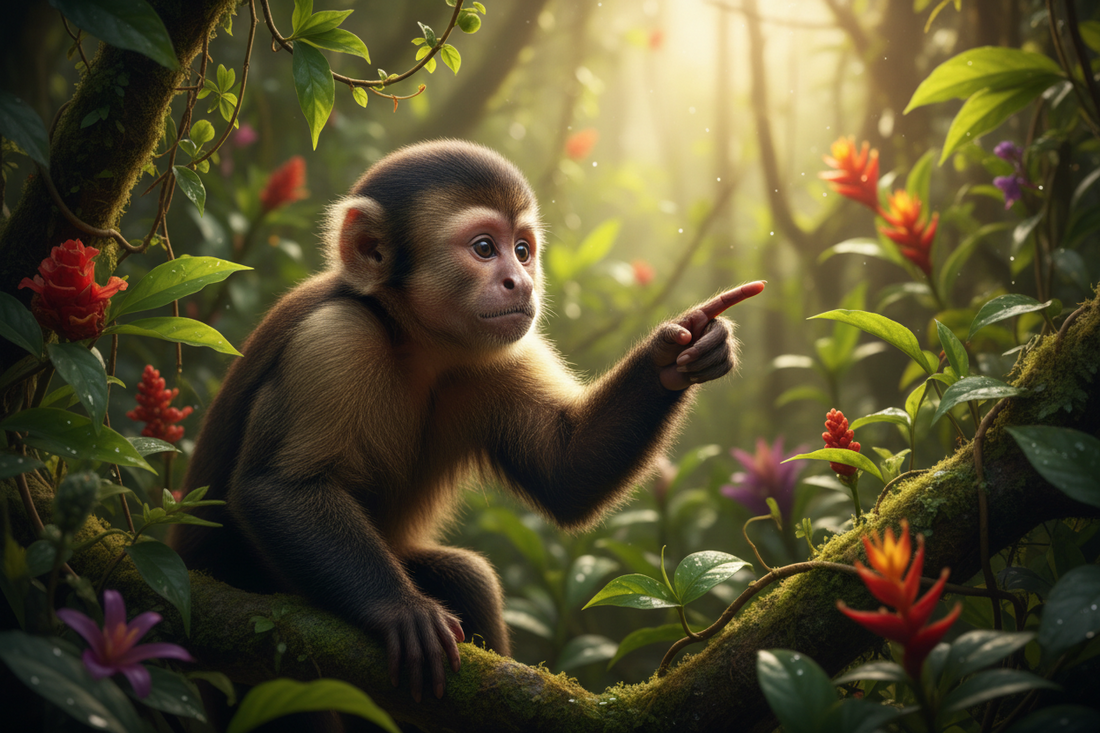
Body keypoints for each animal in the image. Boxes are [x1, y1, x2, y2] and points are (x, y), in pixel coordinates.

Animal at [169, 139, 764, 703]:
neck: (412, 340)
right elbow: (278, 488)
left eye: (522, 251)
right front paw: (399, 610)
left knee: (470, 578)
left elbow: (566, 475)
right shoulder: (333, 339)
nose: (520, 282)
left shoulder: (498, 358)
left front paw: (680, 352)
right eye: (484, 249)